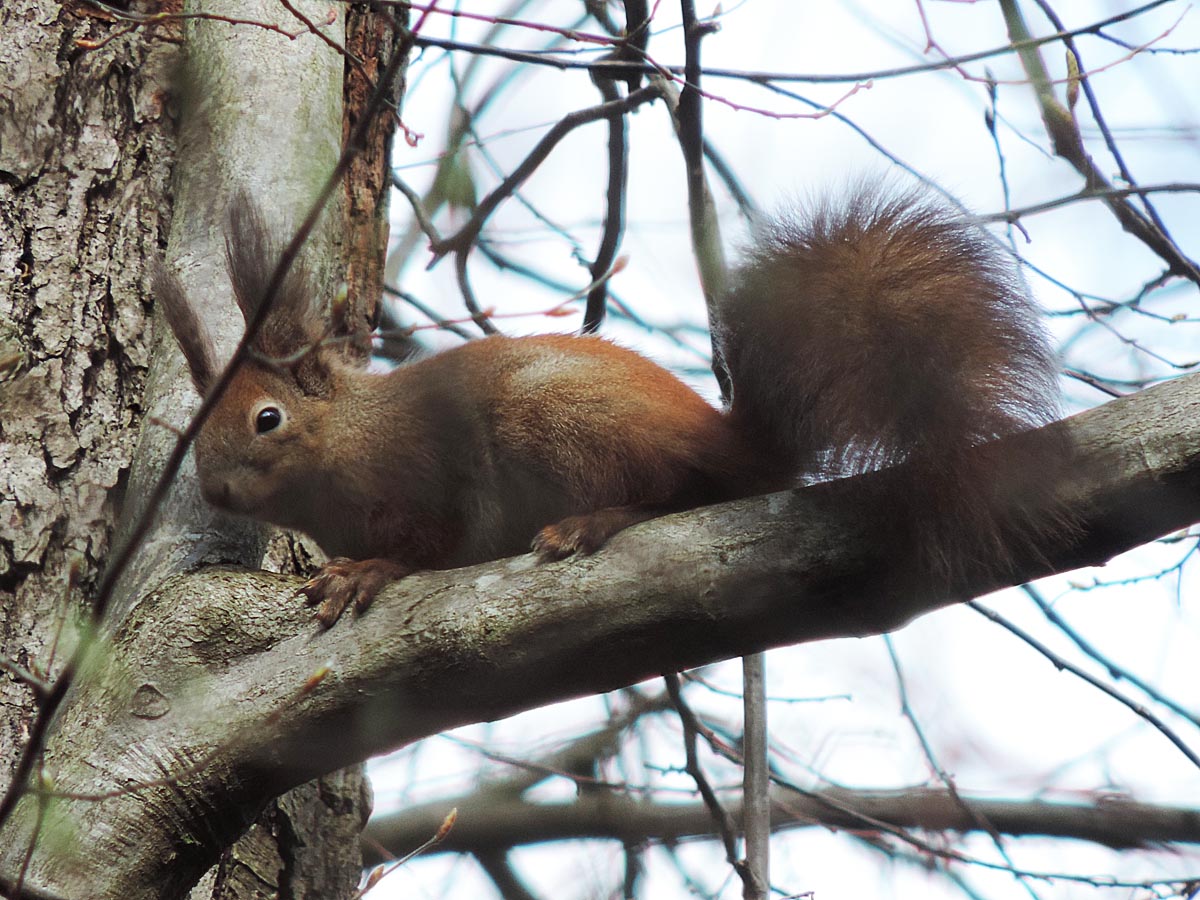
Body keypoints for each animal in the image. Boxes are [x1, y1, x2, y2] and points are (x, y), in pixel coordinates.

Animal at [154, 187, 1065, 628]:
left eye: (267, 419)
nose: (216, 490)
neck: (350, 438)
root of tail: (737, 445)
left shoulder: (430, 473)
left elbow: (430, 543)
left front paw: (367, 571)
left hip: (553, 416)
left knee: (675, 493)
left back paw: (592, 523)